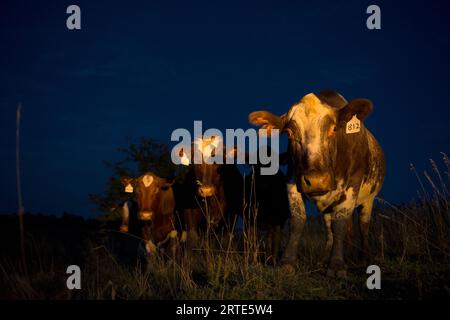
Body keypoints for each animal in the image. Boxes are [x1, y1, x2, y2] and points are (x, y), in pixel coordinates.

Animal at [248, 90, 384, 278]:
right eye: (289, 133)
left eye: (333, 129)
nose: (316, 181)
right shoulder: (292, 181)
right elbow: (298, 220)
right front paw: (287, 262)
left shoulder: (353, 184)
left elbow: (340, 224)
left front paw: (337, 265)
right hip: (328, 207)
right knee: (329, 230)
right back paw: (324, 259)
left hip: (368, 199)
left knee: (363, 226)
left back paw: (365, 258)